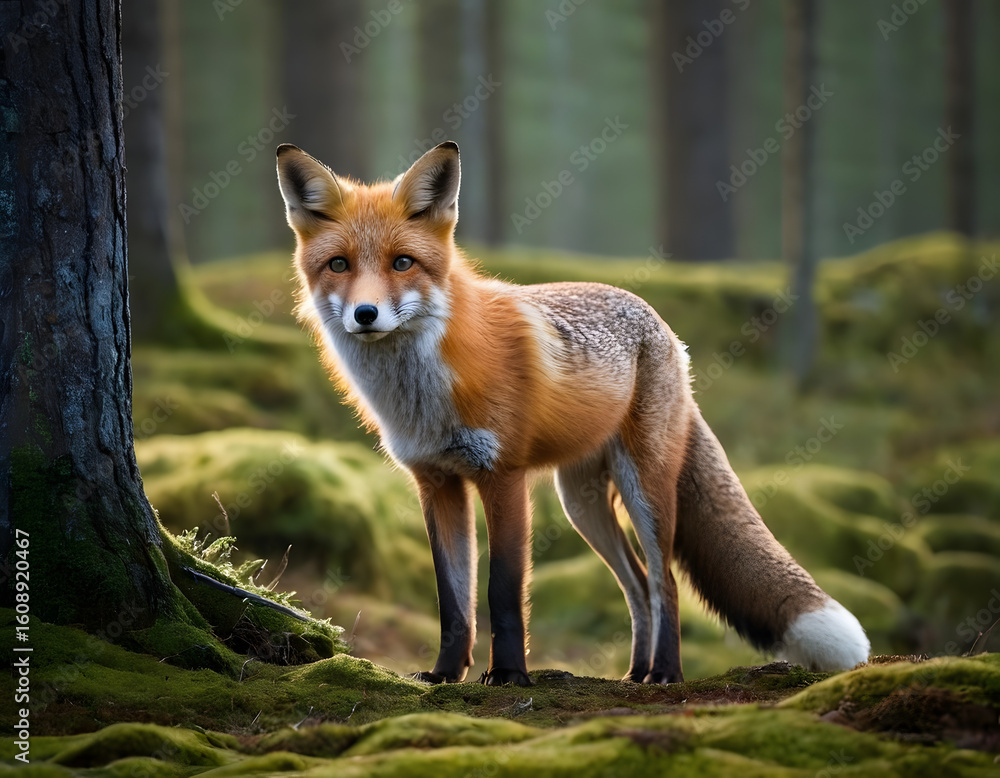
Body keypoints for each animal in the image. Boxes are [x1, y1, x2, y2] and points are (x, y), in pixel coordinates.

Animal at [275, 140, 870, 686]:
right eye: (339, 265)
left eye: (402, 262)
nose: (365, 314)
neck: (423, 391)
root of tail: (664, 327)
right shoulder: (436, 482)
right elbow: (453, 600)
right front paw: (445, 674)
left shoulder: (503, 476)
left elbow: (502, 591)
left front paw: (509, 675)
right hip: (582, 502)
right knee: (636, 586)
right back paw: (636, 671)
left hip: (644, 488)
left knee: (665, 582)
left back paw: (666, 673)